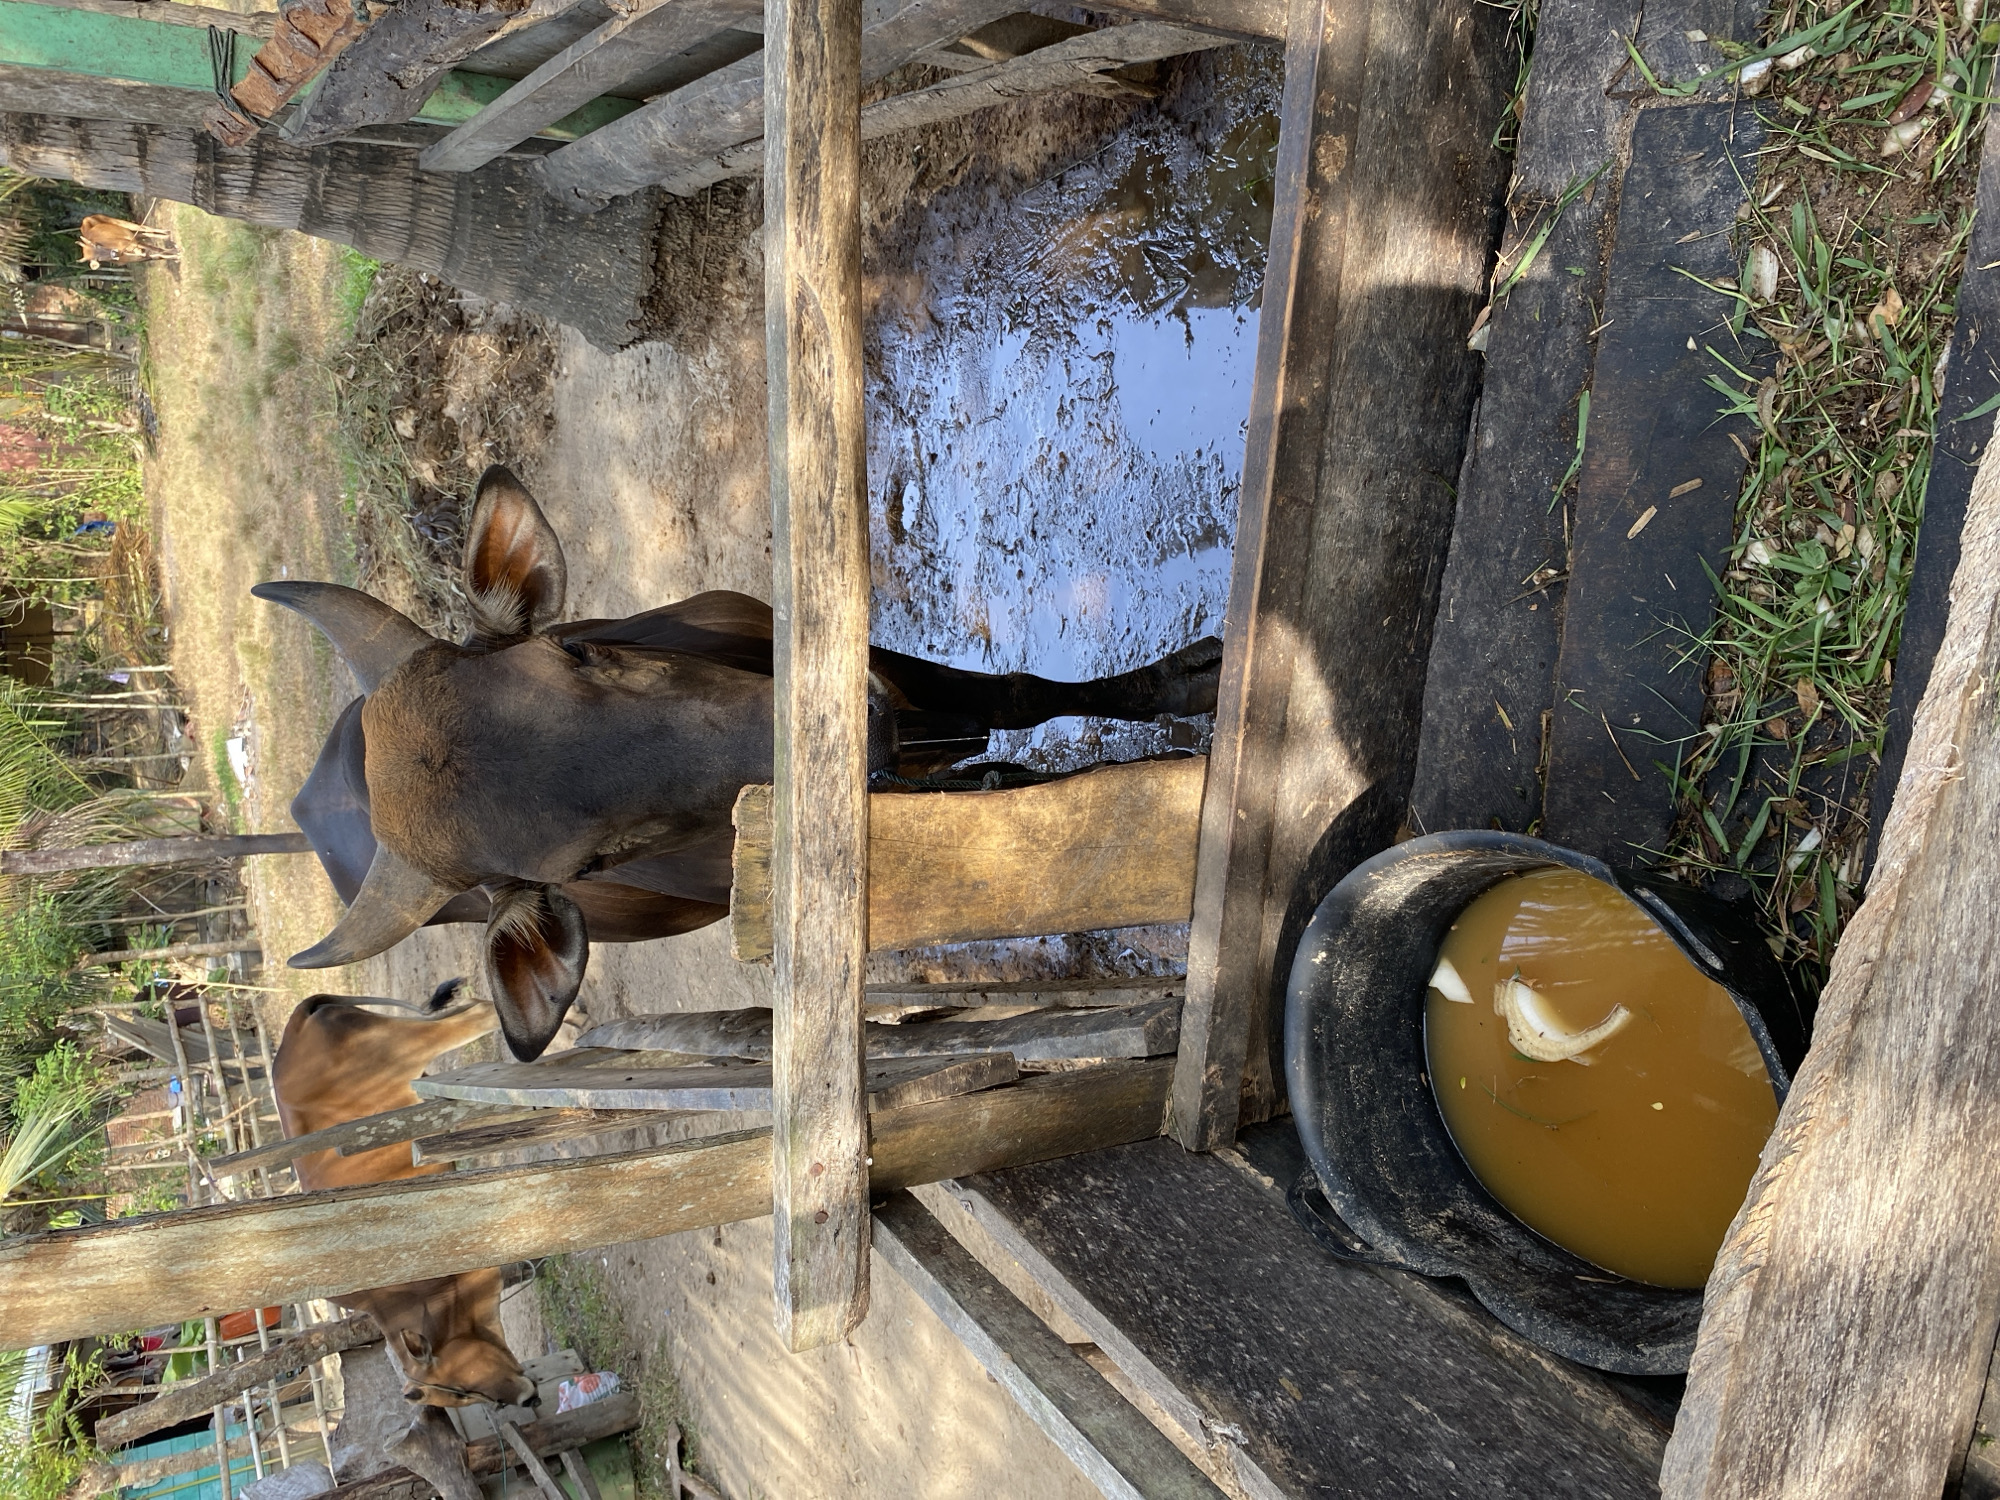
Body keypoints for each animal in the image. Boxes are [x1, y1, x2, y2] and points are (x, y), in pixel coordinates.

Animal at [255, 466, 1223, 1062]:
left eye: (578, 652)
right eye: (591, 863)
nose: (861, 725)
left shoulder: (872, 665)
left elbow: (1015, 696)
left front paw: (1189, 678)